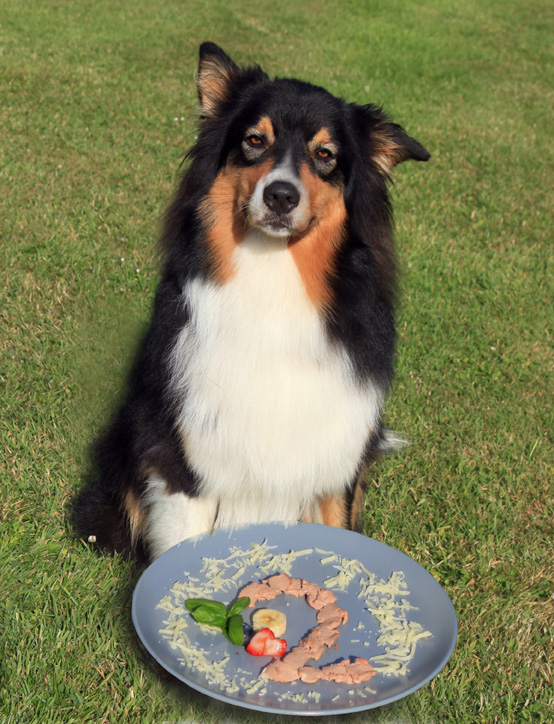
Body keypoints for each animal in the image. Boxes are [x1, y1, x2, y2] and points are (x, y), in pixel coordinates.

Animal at [72, 41, 426, 560]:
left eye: (325, 154)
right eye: (255, 140)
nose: (280, 196)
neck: (272, 276)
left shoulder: (334, 462)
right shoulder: (185, 458)